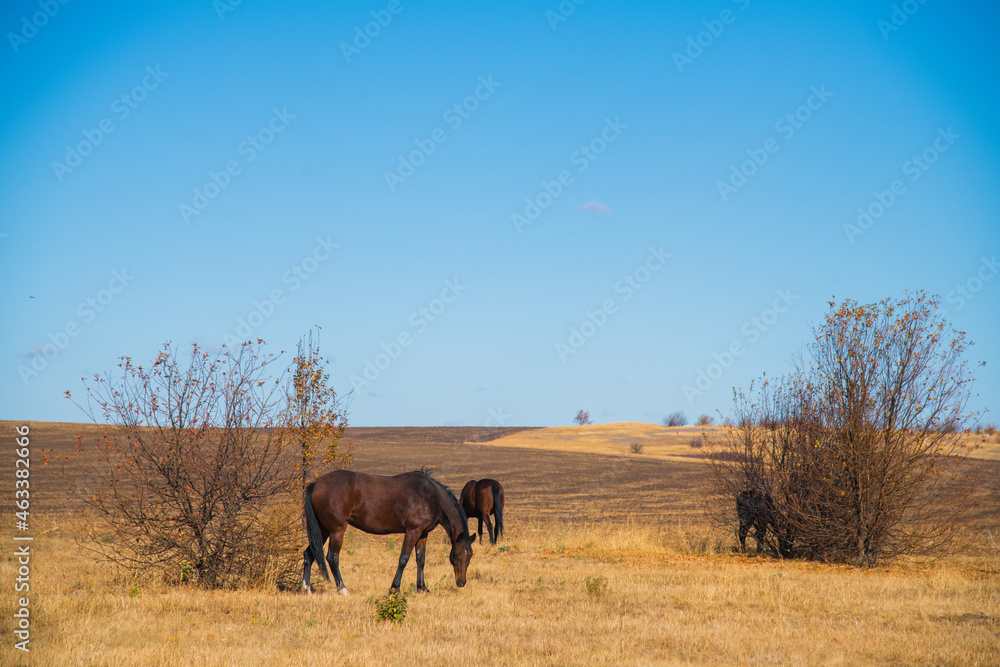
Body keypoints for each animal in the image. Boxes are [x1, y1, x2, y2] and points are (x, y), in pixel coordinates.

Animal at [302, 469, 474, 596]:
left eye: (470, 556)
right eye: (456, 554)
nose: (461, 582)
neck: (432, 497)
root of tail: (316, 484)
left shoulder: (423, 534)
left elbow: (421, 560)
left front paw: (422, 588)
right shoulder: (412, 531)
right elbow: (403, 559)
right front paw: (394, 588)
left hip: (323, 530)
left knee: (309, 554)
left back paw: (307, 589)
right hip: (336, 531)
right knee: (332, 558)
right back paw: (343, 590)